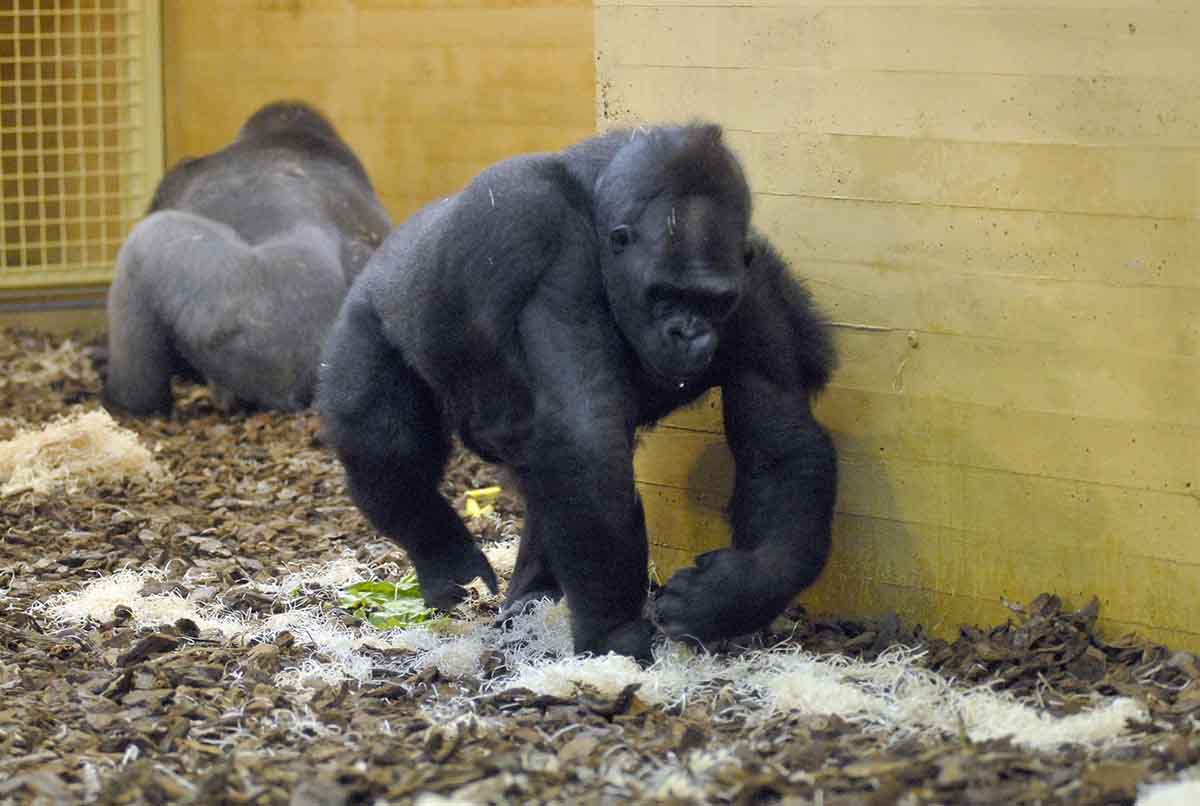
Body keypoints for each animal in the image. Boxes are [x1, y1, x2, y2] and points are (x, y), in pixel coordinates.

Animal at [324, 122, 840, 657]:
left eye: (712, 301)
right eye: (664, 294)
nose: (688, 333)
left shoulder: (757, 292)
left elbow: (778, 446)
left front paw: (739, 591)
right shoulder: (560, 260)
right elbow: (584, 438)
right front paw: (616, 633)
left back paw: (531, 595)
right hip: (366, 314)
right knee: (384, 447)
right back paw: (443, 558)